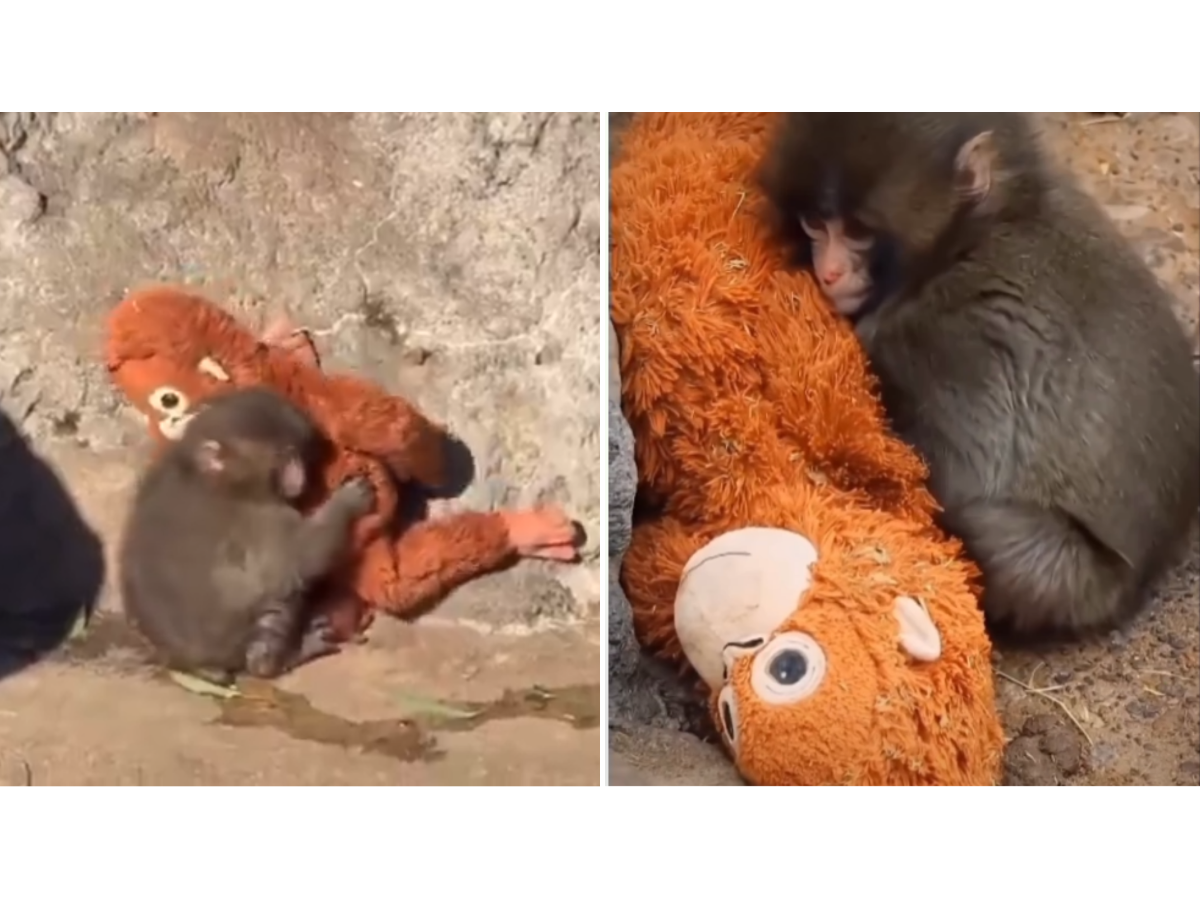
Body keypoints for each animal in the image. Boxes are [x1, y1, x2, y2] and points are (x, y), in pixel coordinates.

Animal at [119, 386, 375, 682]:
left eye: (297, 452)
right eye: (286, 455)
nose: (298, 477)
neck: (210, 477)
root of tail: (187, 662)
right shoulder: (264, 518)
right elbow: (300, 558)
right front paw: (348, 501)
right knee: (276, 602)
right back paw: (280, 658)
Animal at [758, 112, 1200, 639]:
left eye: (859, 230)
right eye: (815, 222)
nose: (828, 272)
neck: (972, 237)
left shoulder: (953, 336)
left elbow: (959, 477)